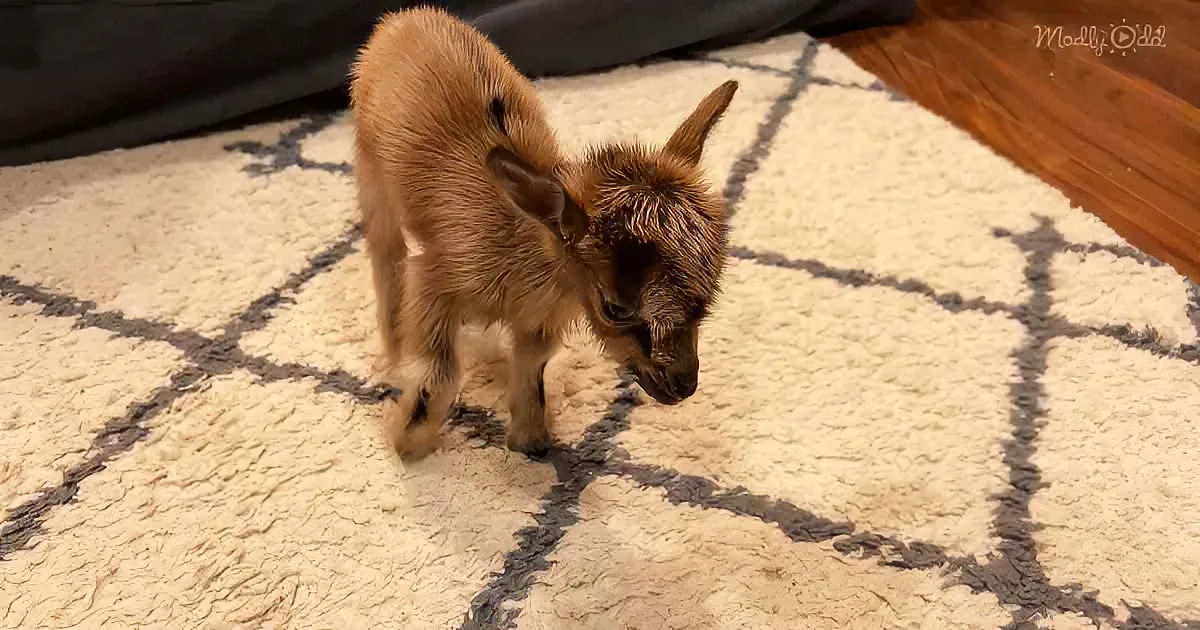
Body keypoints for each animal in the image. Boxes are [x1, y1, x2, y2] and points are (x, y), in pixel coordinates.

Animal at [349, 5, 737, 459]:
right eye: (615, 308)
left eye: (707, 299)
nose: (683, 385)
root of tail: (401, 18)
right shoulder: (436, 280)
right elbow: (438, 374)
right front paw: (406, 442)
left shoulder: (538, 321)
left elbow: (533, 366)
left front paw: (531, 441)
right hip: (371, 171)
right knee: (386, 252)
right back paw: (392, 354)